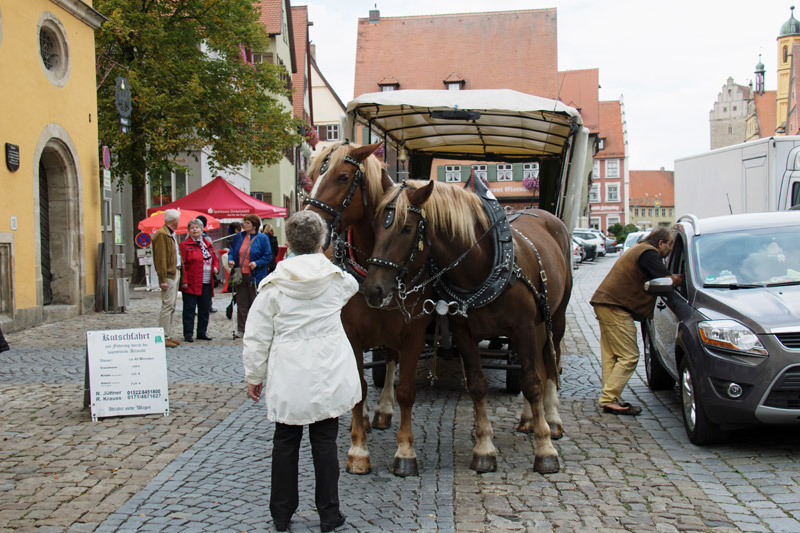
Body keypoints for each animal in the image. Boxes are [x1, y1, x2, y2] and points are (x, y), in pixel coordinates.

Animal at [304, 140, 432, 474]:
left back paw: (384, 410)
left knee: (389, 360)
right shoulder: (351, 335)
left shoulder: (413, 334)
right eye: (314, 175)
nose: (305, 223)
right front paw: (358, 450)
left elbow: (406, 390)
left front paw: (405, 451)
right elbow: (359, 387)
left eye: (343, 177)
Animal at [362, 180, 576, 474]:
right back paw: (528, 419)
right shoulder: (464, 333)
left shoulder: (522, 329)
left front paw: (544, 450)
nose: (373, 290)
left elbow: (532, 383)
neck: (481, 267)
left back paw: (552, 420)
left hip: (556, 315)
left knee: (550, 362)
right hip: (538, 324)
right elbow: (478, 385)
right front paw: (484, 448)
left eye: (405, 227)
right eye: (374, 225)